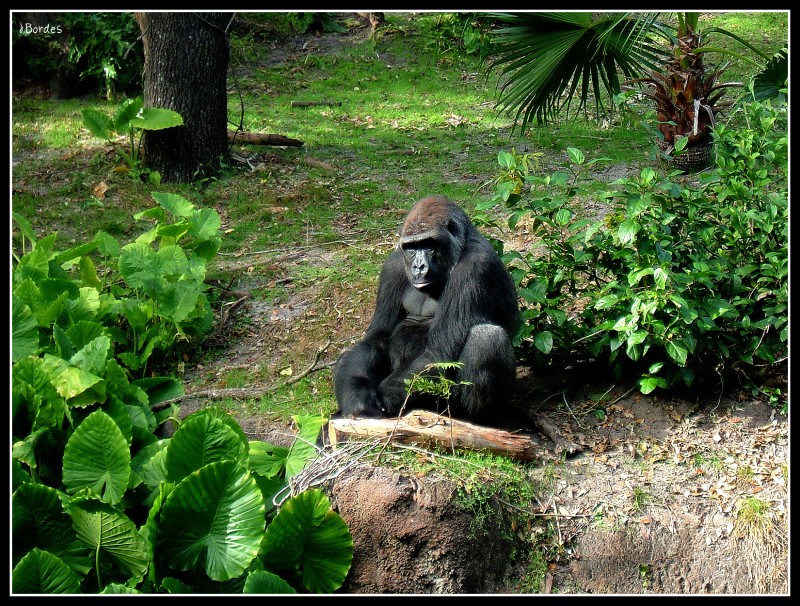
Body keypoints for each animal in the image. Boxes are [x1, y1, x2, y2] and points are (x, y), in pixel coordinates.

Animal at [332, 197, 520, 426]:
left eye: (429, 244)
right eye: (411, 247)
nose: (418, 267)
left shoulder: (475, 268)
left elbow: (437, 352)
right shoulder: (393, 266)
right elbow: (377, 338)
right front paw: (357, 398)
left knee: (486, 338)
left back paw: (477, 422)